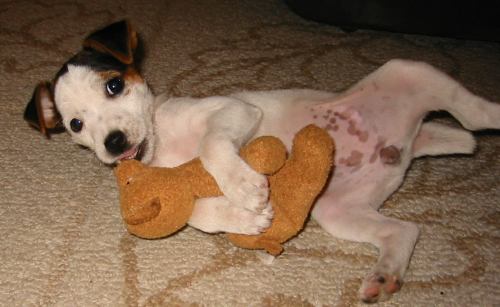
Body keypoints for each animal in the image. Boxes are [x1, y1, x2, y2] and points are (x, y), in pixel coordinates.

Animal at [24, 20, 500, 304]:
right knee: (404, 230)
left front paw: (244, 187)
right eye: (76, 124)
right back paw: (384, 275)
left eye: (115, 85)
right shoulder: (164, 188)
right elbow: (196, 211)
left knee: (476, 115)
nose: (113, 142)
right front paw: (245, 218)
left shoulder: (235, 111)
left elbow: (214, 146)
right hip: (337, 212)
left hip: (408, 70)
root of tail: (405, 144)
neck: (163, 144)